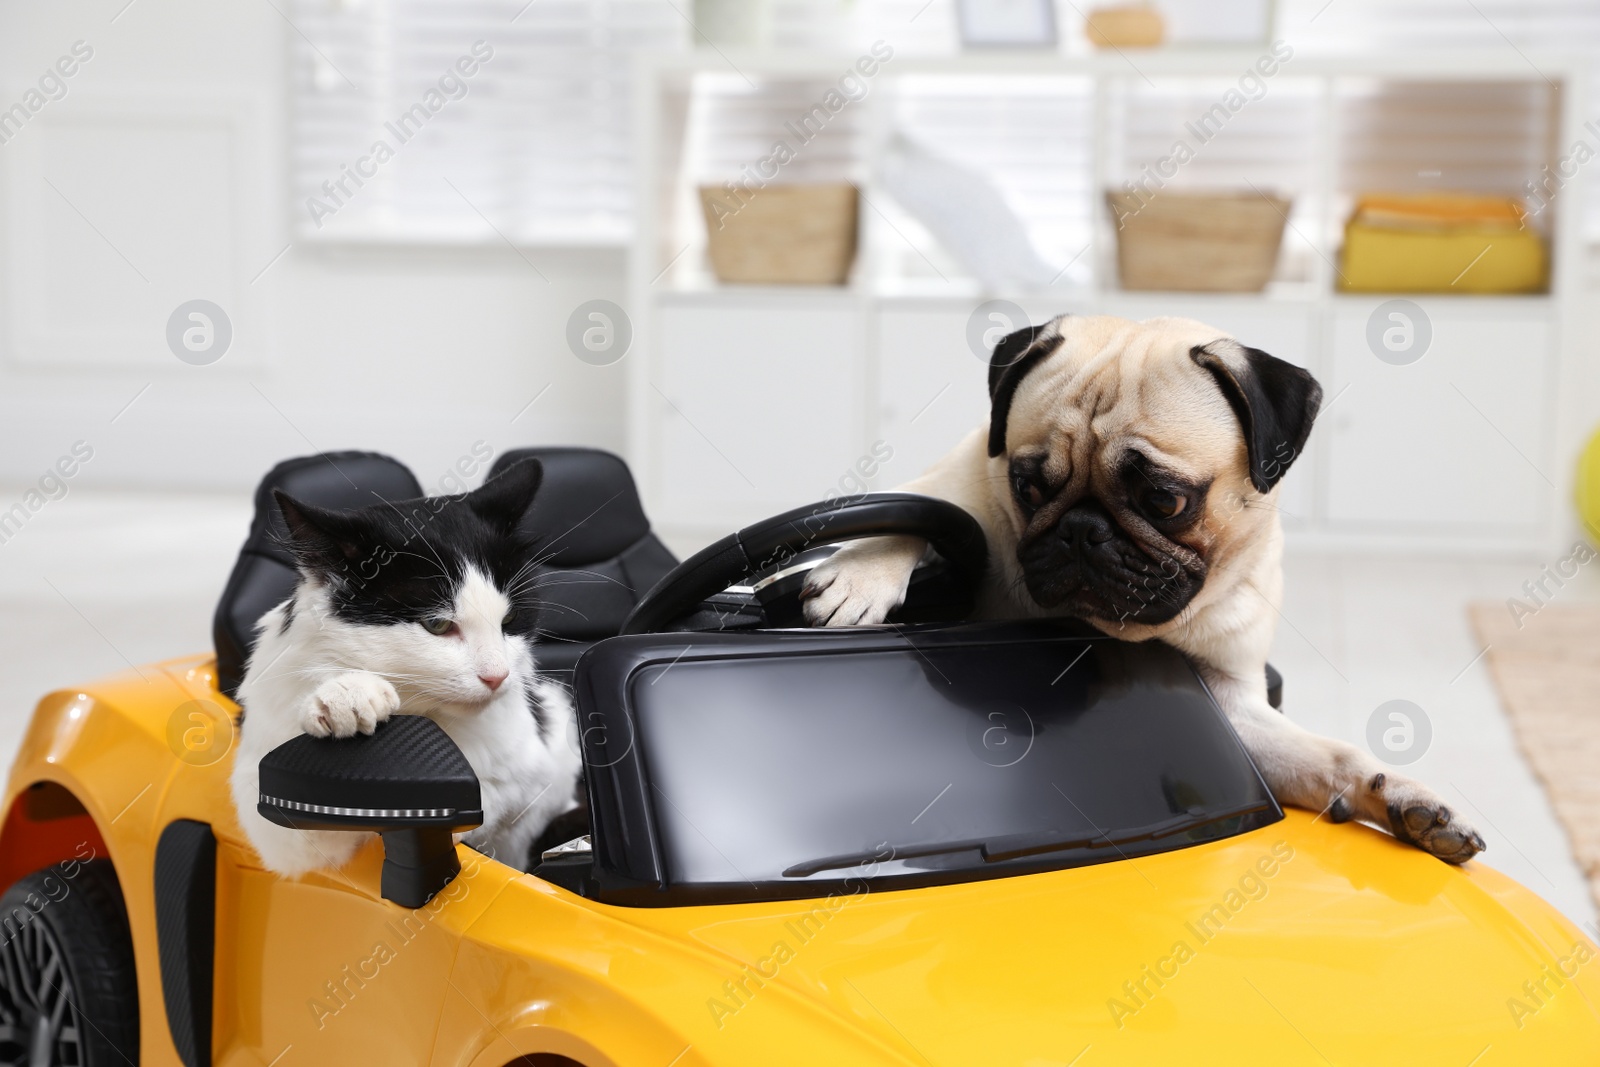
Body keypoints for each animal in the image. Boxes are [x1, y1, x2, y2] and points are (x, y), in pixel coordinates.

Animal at [222, 457, 579, 876]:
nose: (497, 676)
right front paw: (348, 695)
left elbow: (497, 802)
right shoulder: (270, 813)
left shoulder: (532, 775)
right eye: (437, 624)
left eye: (509, 621)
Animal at [806, 313, 1491, 863]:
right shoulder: (955, 484)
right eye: (1029, 487)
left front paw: (1405, 799)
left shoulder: (1232, 705)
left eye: (1164, 501)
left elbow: (1330, 758)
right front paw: (861, 572)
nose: (1081, 531)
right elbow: (909, 513)